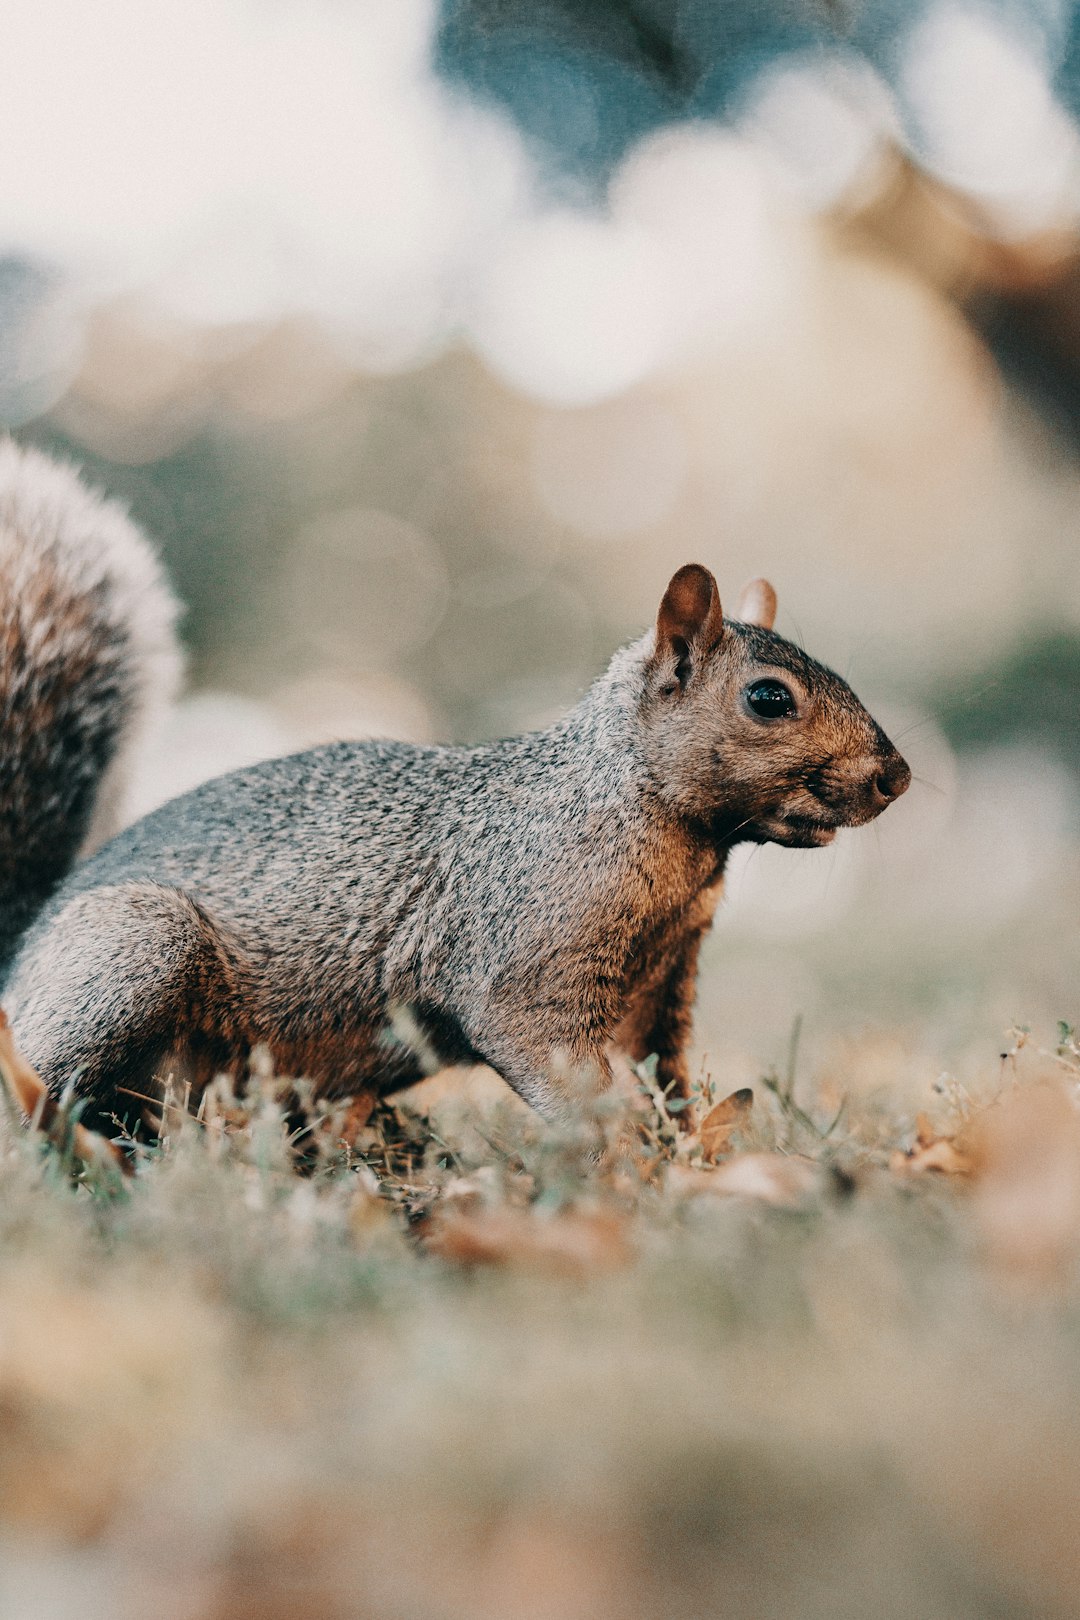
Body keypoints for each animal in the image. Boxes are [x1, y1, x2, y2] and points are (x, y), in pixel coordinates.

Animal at [0, 437, 913, 1134]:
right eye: (768, 699)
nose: (897, 777)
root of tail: (19, 953)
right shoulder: (522, 955)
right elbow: (559, 1067)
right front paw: (623, 1161)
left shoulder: (662, 983)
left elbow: (668, 1073)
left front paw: (691, 1149)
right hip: (133, 949)